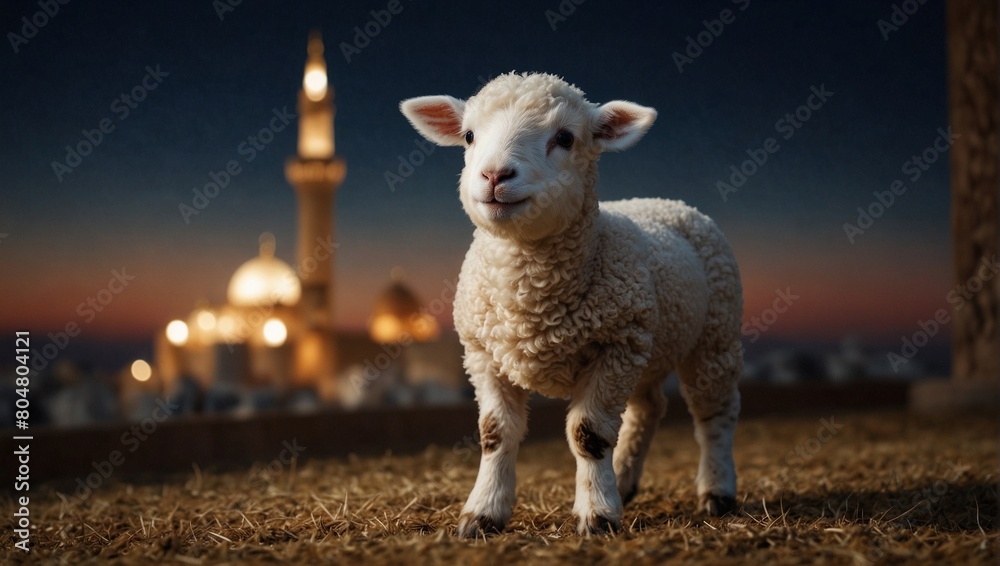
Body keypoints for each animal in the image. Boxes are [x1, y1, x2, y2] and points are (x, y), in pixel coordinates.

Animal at [400, 72, 744, 537]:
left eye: (564, 138)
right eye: (469, 135)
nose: (494, 174)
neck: (530, 299)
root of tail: (668, 201)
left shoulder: (613, 347)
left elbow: (588, 434)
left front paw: (597, 514)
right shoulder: (483, 354)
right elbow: (495, 434)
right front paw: (483, 512)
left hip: (713, 336)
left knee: (714, 415)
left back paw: (717, 490)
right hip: (648, 346)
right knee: (647, 409)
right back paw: (625, 480)